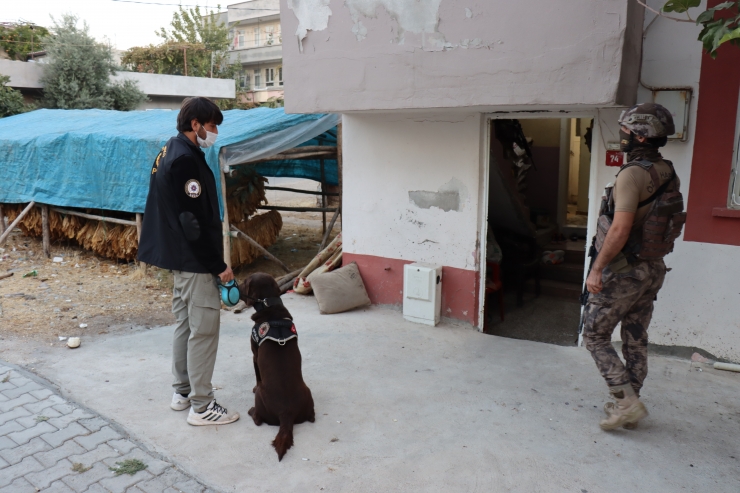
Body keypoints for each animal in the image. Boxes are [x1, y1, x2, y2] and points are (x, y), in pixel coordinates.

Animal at [240, 274, 316, 460]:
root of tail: (286, 414)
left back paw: (251, 410)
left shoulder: (254, 355)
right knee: (312, 416)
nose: (236, 284)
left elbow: (257, 376)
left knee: (258, 419)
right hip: (307, 391)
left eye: (244, 281)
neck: (270, 306)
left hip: (261, 396)